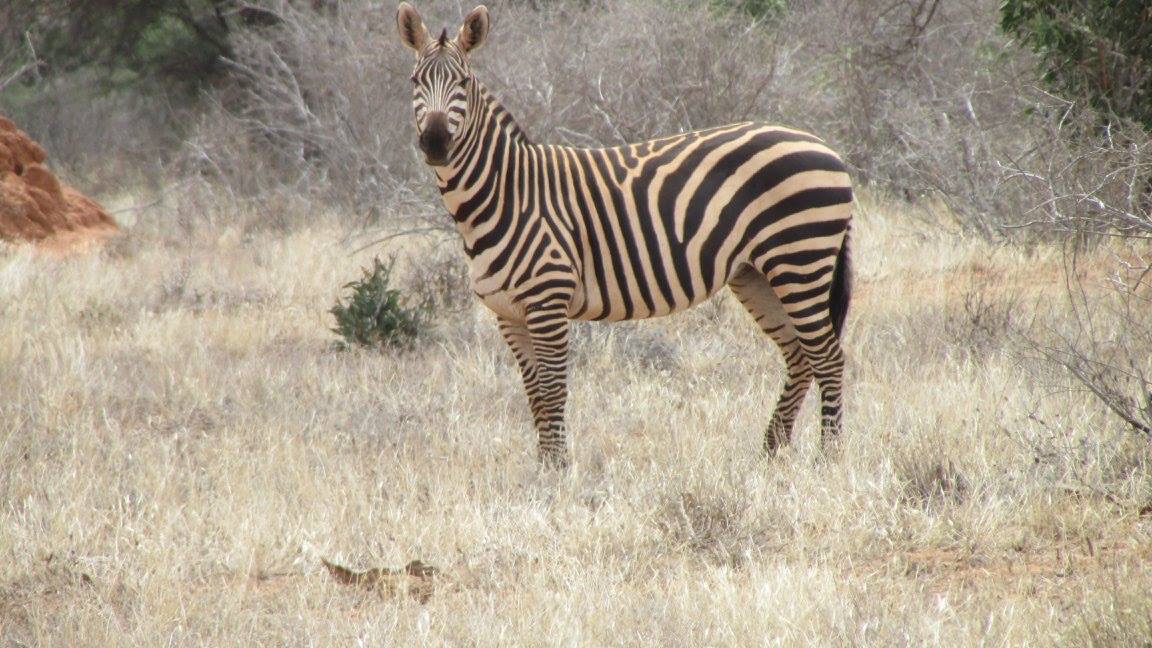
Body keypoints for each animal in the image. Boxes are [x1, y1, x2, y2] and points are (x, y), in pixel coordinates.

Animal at [396, 3, 853, 467]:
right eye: (415, 82)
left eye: (463, 83)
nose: (435, 142)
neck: (508, 193)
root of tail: (827, 149)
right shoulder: (508, 313)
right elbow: (534, 395)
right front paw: (543, 468)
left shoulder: (548, 302)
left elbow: (552, 390)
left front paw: (559, 470)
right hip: (757, 274)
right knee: (799, 355)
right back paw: (772, 449)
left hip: (799, 260)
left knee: (828, 357)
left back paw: (829, 457)